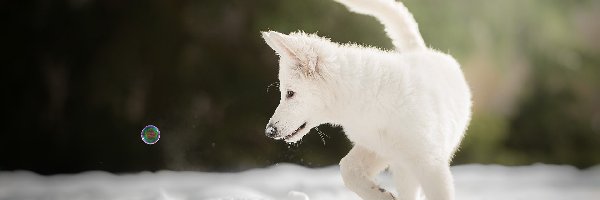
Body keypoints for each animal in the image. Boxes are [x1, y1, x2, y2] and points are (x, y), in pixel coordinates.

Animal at [262, 0, 474, 200]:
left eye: (290, 93)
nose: (269, 131)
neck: (370, 98)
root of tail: (419, 51)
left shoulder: (431, 163)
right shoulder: (376, 147)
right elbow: (347, 169)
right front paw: (382, 195)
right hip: (399, 163)